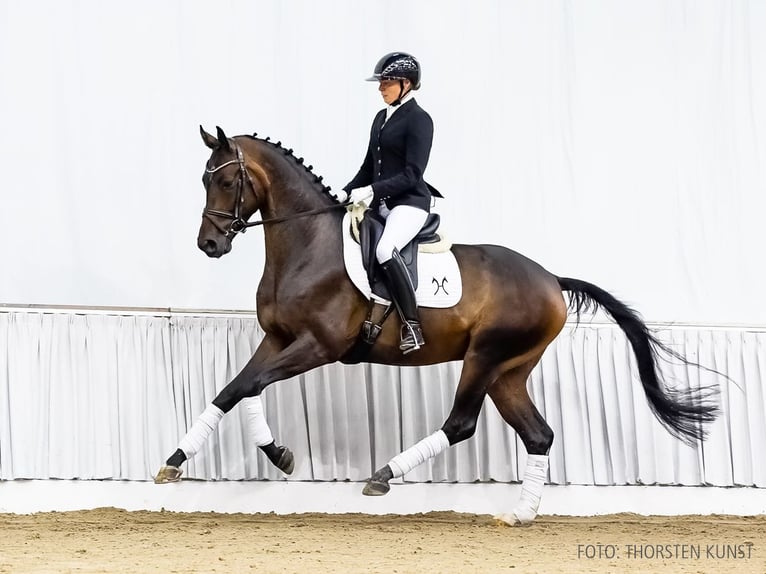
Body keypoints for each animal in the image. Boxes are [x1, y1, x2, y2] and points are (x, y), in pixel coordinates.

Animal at [154, 125, 720, 528]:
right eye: (205, 178)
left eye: (227, 180)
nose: (210, 244)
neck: (307, 245)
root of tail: (551, 279)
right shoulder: (277, 339)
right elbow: (235, 389)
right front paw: (185, 460)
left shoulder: (319, 345)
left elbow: (248, 384)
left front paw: (275, 456)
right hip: (509, 372)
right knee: (538, 434)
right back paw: (520, 515)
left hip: (485, 357)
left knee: (461, 423)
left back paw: (383, 476)